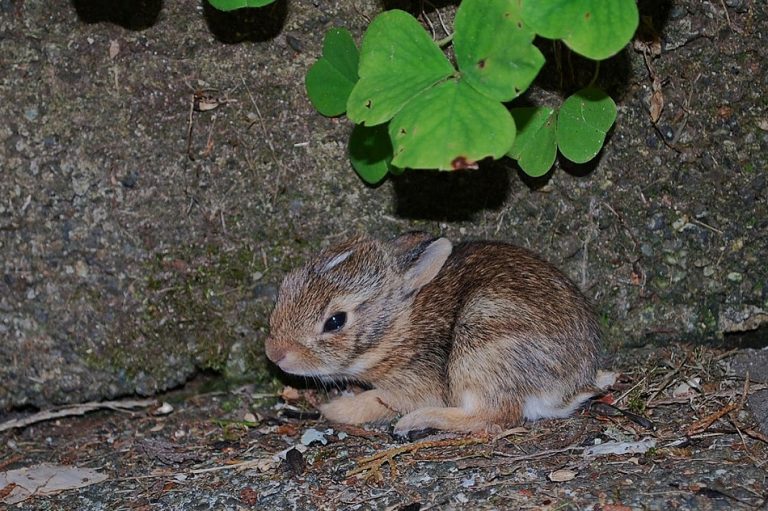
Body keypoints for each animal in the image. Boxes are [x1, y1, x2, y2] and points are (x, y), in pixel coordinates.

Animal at [264, 232, 603, 436]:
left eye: (335, 321)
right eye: (285, 285)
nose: (275, 353)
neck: (400, 327)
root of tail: (571, 388)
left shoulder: (412, 385)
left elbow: (374, 401)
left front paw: (332, 408)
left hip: (480, 346)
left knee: (494, 415)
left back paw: (417, 420)